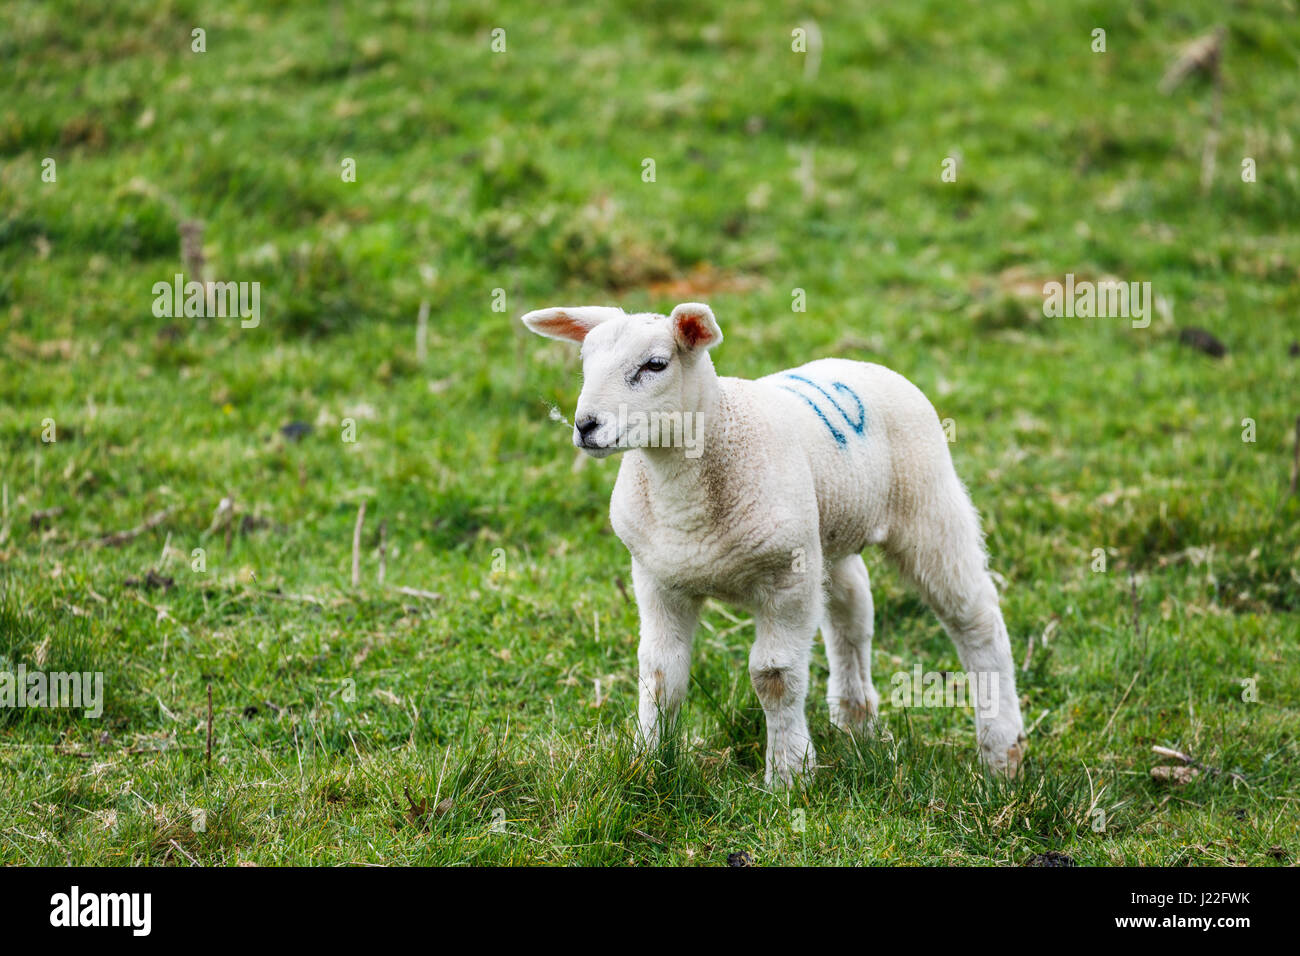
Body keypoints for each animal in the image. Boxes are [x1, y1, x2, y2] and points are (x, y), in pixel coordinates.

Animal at [522, 303, 1029, 790]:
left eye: (655, 365)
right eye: (585, 361)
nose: (586, 425)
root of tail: (863, 365)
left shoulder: (787, 578)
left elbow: (774, 676)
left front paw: (788, 775)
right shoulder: (658, 578)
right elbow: (661, 674)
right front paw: (647, 762)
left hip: (929, 508)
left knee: (977, 620)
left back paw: (1001, 752)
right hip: (826, 532)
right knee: (851, 612)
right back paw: (856, 719)